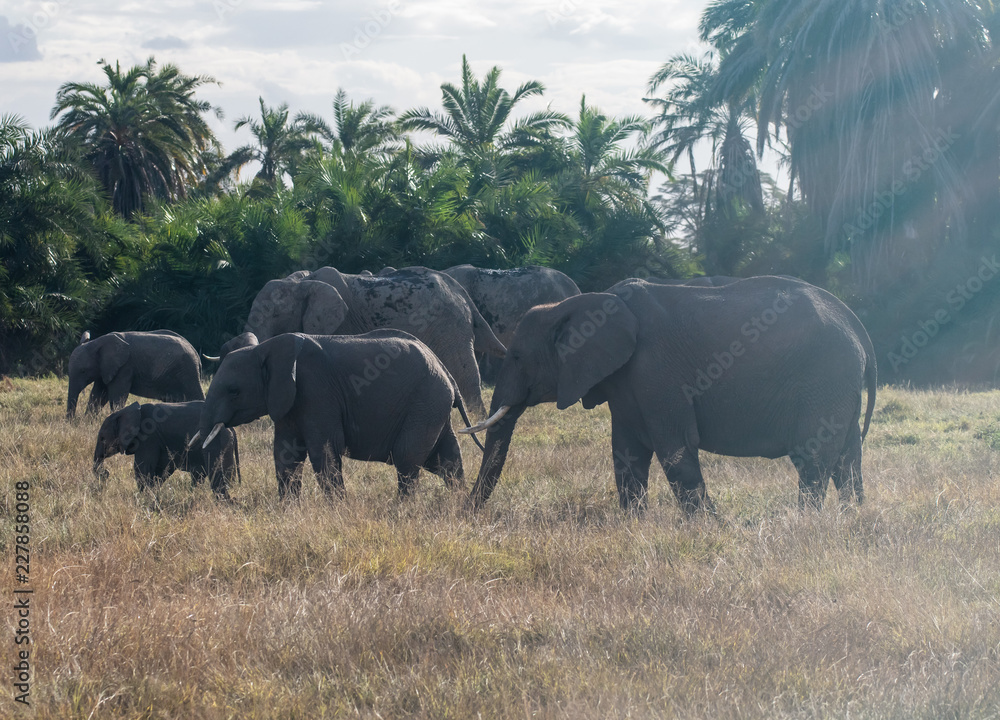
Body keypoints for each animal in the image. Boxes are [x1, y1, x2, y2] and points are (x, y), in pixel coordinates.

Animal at [67, 330, 204, 419]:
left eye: (83, 371)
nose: (71, 421)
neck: (97, 342)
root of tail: (196, 353)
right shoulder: (105, 368)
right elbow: (98, 394)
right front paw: (88, 421)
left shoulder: (125, 367)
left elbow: (117, 395)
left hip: (187, 373)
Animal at [93, 401, 239, 496]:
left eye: (102, 438)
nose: (106, 473)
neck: (127, 411)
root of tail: (231, 428)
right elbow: (161, 471)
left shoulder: (148, 437)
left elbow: (143, 468)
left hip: (219, 442)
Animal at [197, 330, 482, 500]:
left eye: (234, 391)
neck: (268, 348)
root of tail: (447, 373)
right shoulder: (289, 400)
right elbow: (285, 452)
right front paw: (289, 510)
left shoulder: (316, 391)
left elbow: (323, 450)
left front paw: (337, 509)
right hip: (433, 406)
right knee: (445, 460)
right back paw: (457, 502)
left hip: (425, 403)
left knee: (407, 458)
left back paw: (402, 510)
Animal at [242, 266, 506, 416]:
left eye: (276, 315)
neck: (301, 282)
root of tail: (462, 293)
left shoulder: (341, 324)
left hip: (449, 325)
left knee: (464, 370)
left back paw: (477, 417)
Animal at [462, 276, 877, 514]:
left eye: (517, 356)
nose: (466, 513)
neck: (580, 303)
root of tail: (857, 326)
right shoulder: (625, 382)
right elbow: (626, 454)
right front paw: (634, 527)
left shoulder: (656, 372)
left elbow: (675, 449)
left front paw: (711, 529)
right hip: (838, 384)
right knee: (847, 461)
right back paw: (853, 522)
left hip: (825, 375)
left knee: (814, 459)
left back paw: (805, 525)